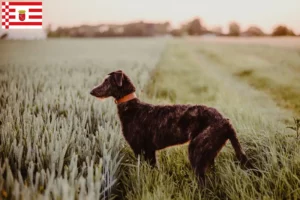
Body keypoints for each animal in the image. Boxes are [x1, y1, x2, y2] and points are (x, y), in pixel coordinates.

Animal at [89, 70, 251, 184]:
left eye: (106, 81)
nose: (91, 91)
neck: (132, 107)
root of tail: (226, 122)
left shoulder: (139, 150)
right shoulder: (150, 151)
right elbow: (153, 169)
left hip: (197, 150)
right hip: (209, 154)